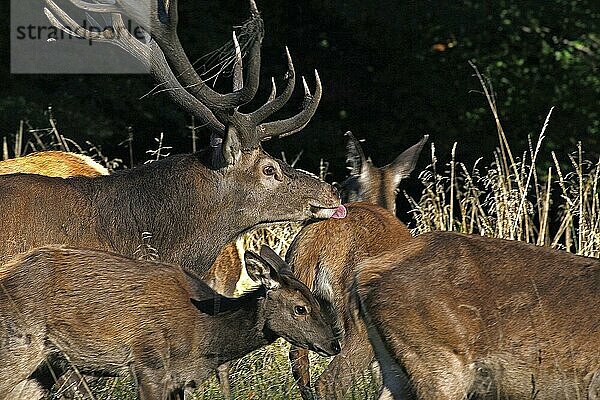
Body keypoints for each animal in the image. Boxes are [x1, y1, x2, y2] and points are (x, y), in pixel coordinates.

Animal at [0, 245, 340, 398]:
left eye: (315, 300)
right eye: (300, 308)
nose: (334, 343)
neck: (204, 337)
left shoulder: (181, 379)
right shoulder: (149, 364)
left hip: (50, 365)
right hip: (19, 347)